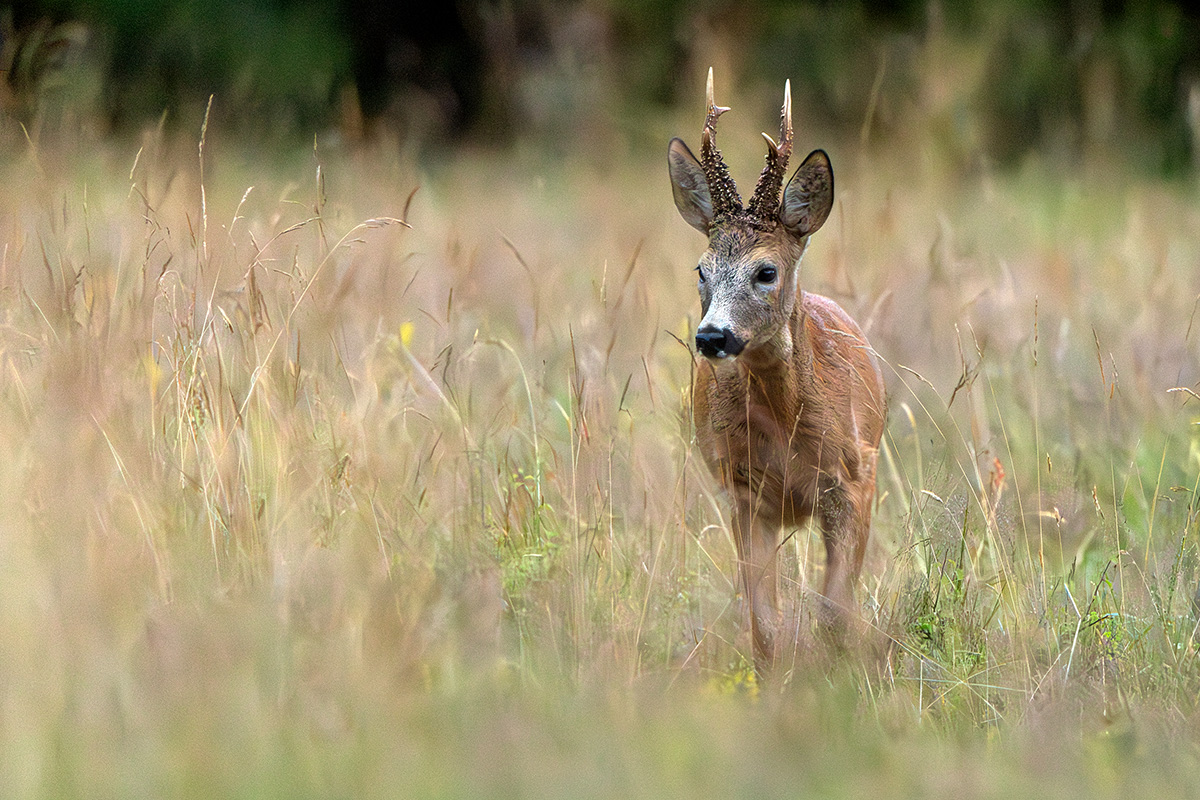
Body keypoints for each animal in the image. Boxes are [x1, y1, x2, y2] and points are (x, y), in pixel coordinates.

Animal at [667, 70, 886, 670]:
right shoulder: (741, 489)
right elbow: (765, 627)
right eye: (701, 269)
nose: (712, 337)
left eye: (766, 271)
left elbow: (836, 613)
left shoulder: (855, 478)